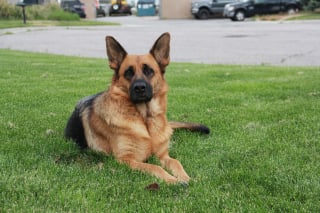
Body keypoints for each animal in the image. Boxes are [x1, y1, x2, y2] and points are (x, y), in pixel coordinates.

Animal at [65, 32, 210, 184]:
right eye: (128, 72)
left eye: (149, 71)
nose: (140, 88)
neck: (145, 119)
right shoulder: (126, 160)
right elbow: (155, 167)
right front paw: (174, 181)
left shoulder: (163, 156)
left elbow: (176, 162)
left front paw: (187, 178)